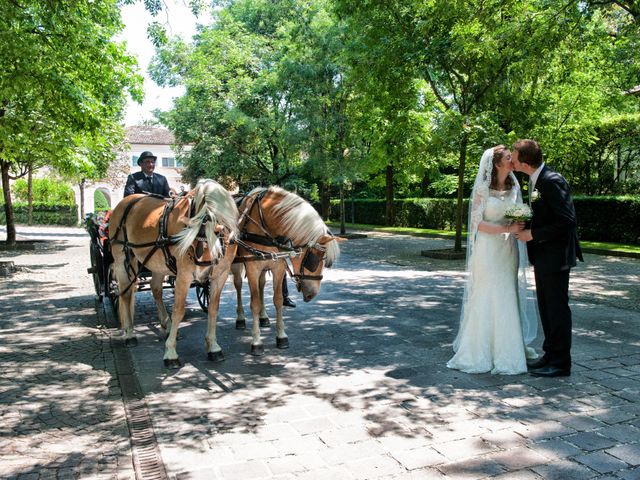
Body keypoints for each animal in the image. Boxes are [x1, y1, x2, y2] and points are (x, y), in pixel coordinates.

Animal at [107, 178, 238, 366]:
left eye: (218, 228)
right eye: (199, 221)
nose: (201, 256)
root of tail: (127, 200)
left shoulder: (220, 275)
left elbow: (213, 308)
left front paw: (213, 347)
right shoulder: (184, 275)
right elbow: (178, 310)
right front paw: (170, 353)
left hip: (157, 263)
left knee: (155, 288)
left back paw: (165, 325)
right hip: (121, 259)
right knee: (125, 293)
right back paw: (130, 333)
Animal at [231, 186, 340, 354]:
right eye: (314, 259)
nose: (312, 294)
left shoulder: (278, 266)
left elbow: (278, 300)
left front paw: (281, 336)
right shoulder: (253, 268)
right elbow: (254, 303)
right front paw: (256, 341)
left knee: (261, 285)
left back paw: (263, 317)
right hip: (237, 264)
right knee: (238, 285)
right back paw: (241, 318)